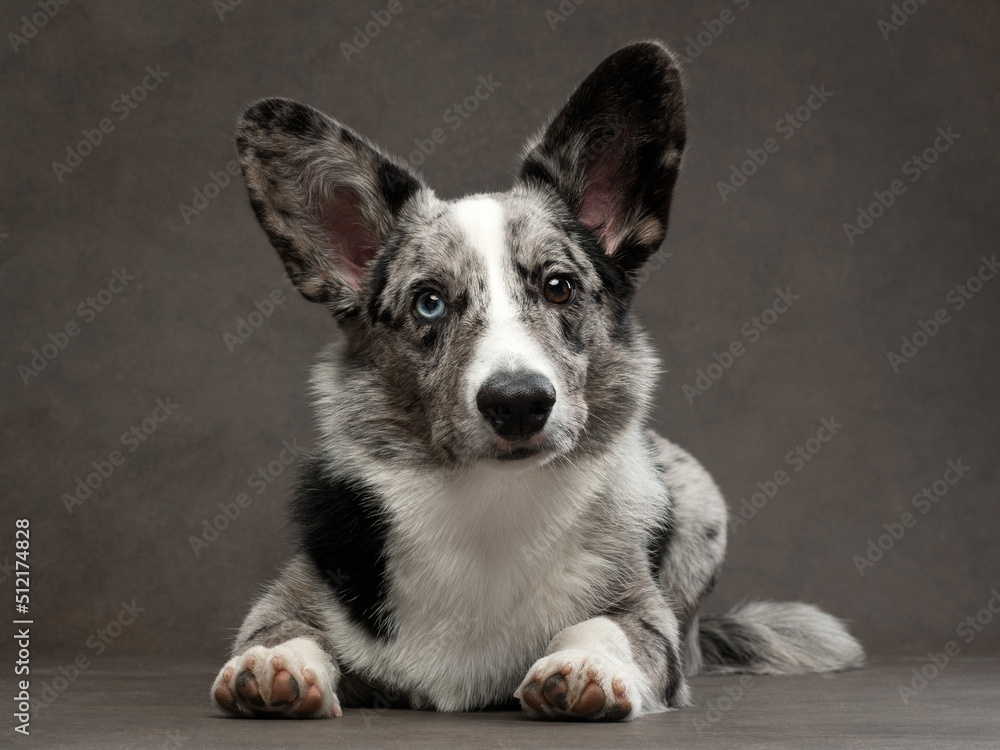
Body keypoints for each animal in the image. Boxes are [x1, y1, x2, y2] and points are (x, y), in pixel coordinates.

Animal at [213, 39, 868, 724]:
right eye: (428, 303)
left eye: (559, 285)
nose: (519, 403)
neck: (489, 508)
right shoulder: (290, 595)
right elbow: (284, 628)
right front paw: (272, 666)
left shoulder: (644, 617)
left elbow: (605, 626)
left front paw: (582, 666)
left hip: (700, 497)